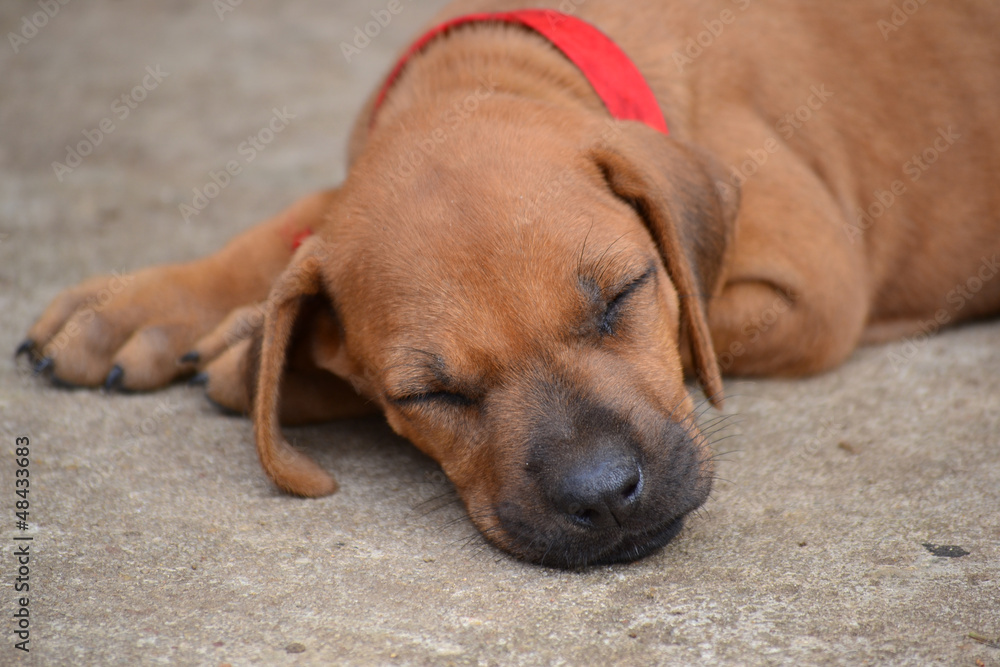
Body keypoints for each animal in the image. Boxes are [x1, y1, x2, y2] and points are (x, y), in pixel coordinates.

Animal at [17, 1, 1000, 568]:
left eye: (623, 295)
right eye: (430, 393)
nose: (603, 497)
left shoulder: (813, 294)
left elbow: (702, 326)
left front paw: (257, 351)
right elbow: (298, 222)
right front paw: (139, 306)